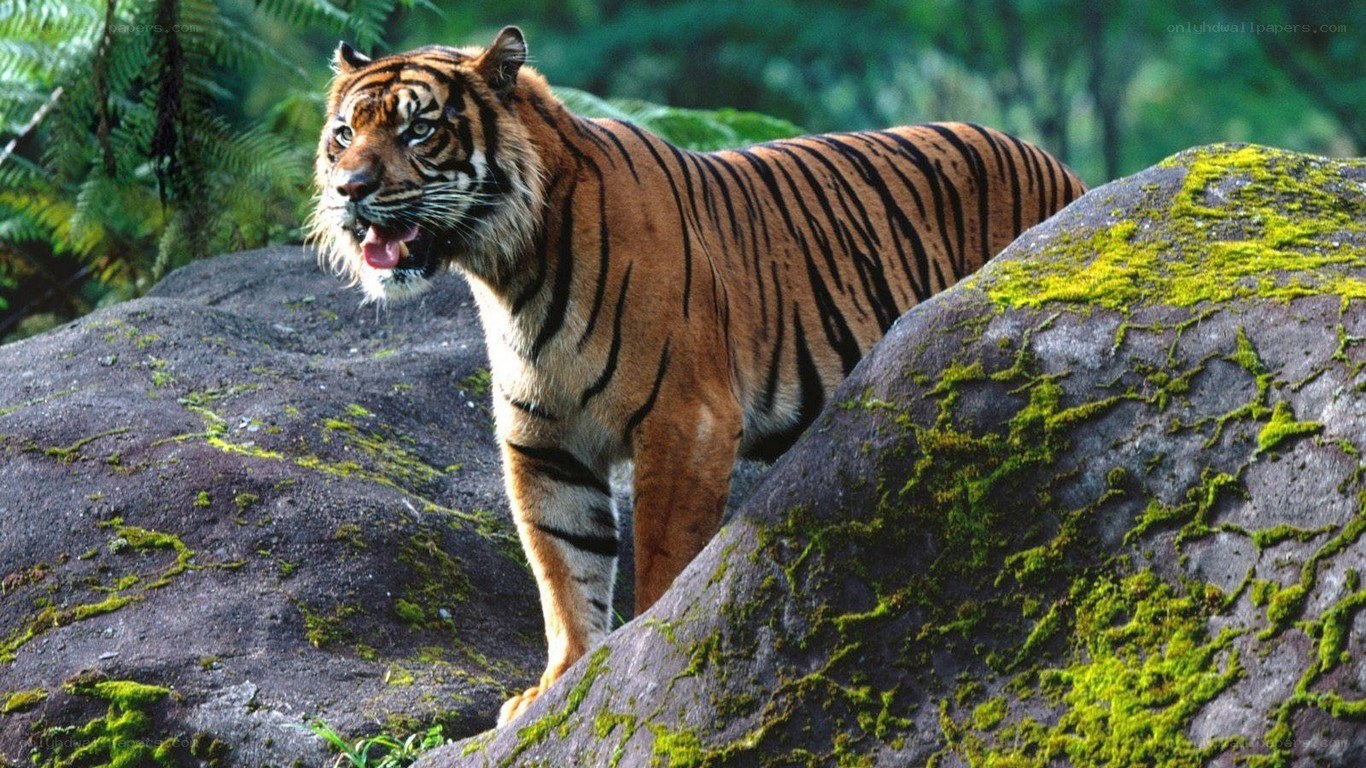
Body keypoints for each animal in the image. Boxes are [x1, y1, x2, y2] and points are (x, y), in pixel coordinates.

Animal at [310, 26, 1086, 726]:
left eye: (418, 130)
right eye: (344, 134)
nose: (350, 189)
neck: (511, 272)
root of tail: (1064, 170)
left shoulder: (686, 420)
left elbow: (661, 556)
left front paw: (636, 659)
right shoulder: (545, 443)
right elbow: (563, 569)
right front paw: (558, 684)